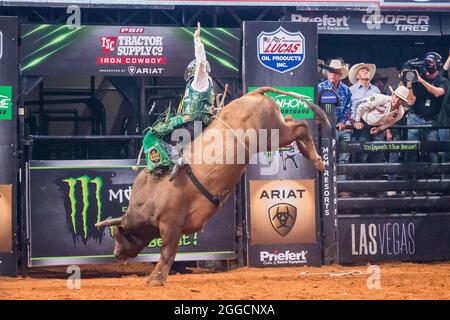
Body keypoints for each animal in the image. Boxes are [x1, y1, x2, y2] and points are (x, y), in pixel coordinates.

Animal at [96, 86, 330, 286]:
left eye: (118, 235)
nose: (115, 254)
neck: (152, 195)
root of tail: (253, 94)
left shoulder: (171, 224)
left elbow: (167, 252)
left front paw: (156, 278)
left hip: (272, 135)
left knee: (301, 127)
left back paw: (318, 160)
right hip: (277, 133)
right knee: (293, 121)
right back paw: (310, 155)